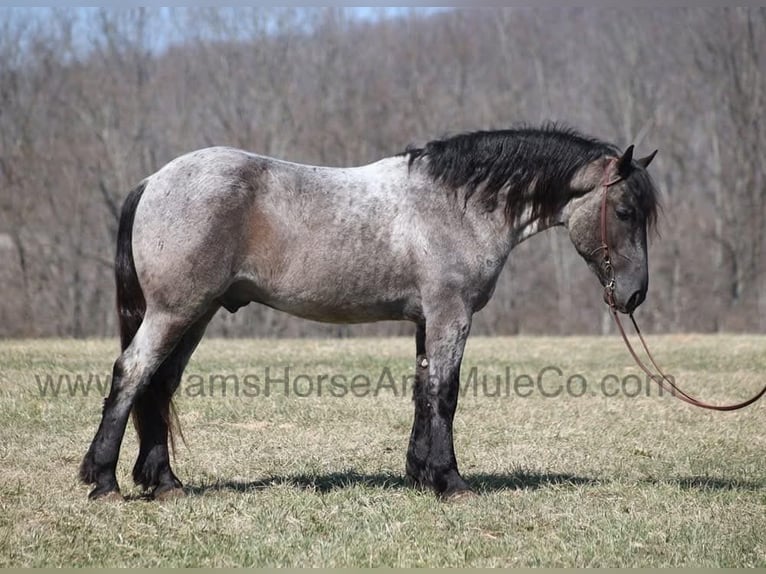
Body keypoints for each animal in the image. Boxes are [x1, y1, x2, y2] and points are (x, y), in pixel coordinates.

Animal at [79, 125, 659, 501]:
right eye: (624, 211)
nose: (633, 296)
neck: (456, 205)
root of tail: (154, 181)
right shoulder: (450, 314)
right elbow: (445, 394)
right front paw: (451, 482)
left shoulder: (426, 320)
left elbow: (423, 393)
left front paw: (422, 475)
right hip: (174, 313)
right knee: (132, 373)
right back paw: (103, 480)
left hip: (194, 317)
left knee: (159, 384)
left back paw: (165, 483)